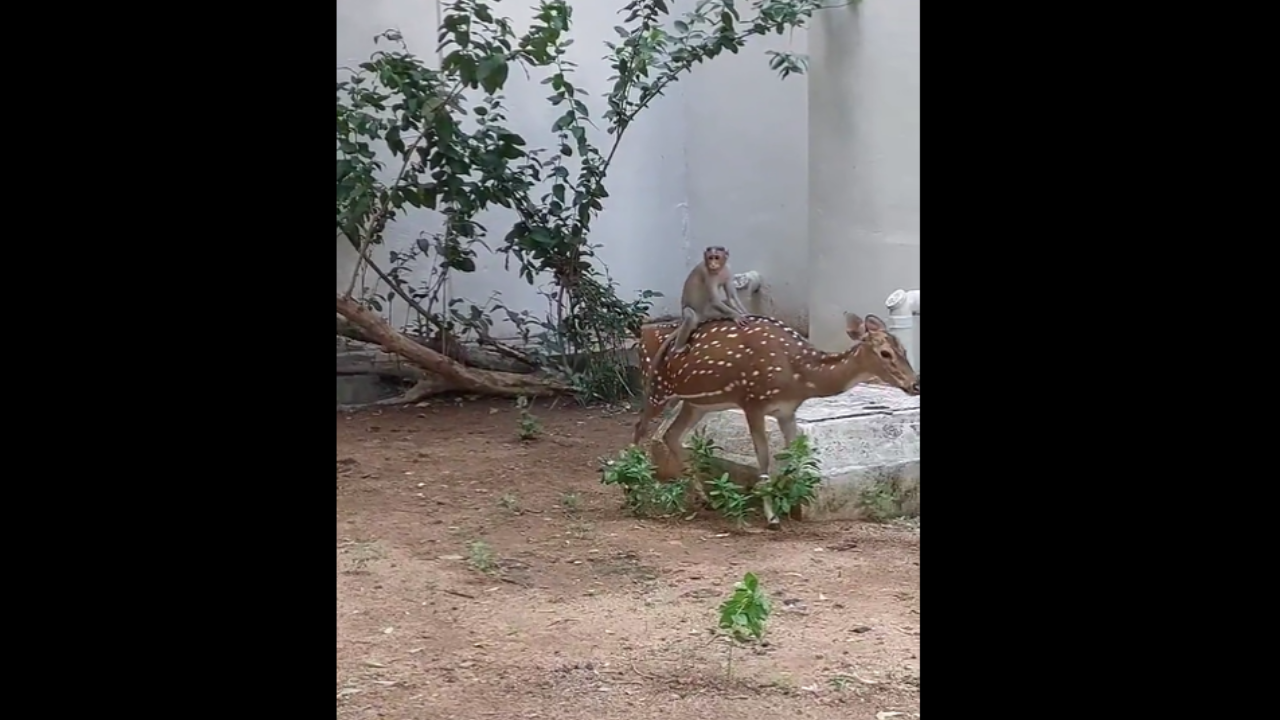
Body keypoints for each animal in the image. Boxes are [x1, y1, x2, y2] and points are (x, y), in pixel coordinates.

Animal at [632, 312, 921, 527]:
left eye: (905, 349)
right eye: (885, 353)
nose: (915, 384)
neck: (800, 376)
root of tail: (642, 332)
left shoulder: (787, 411)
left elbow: (795, 455)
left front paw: (794, 500)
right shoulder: (753, 401)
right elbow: (764, 459)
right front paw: (772, 516)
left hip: (696, 403)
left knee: (671, 434)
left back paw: (706, 499)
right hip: (656, 388)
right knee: (640, 429)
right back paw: (634, 488)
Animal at [640, 244, 747, 381]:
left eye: (716, 257)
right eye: (710, 257)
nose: (713, 264)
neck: (718, 271)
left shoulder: (728, 271)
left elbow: (731, 297)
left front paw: (745, 312)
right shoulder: (707, 274)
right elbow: (715, 300)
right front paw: (736, 315)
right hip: (699, 313)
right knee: (690, 315)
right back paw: (679, 348)